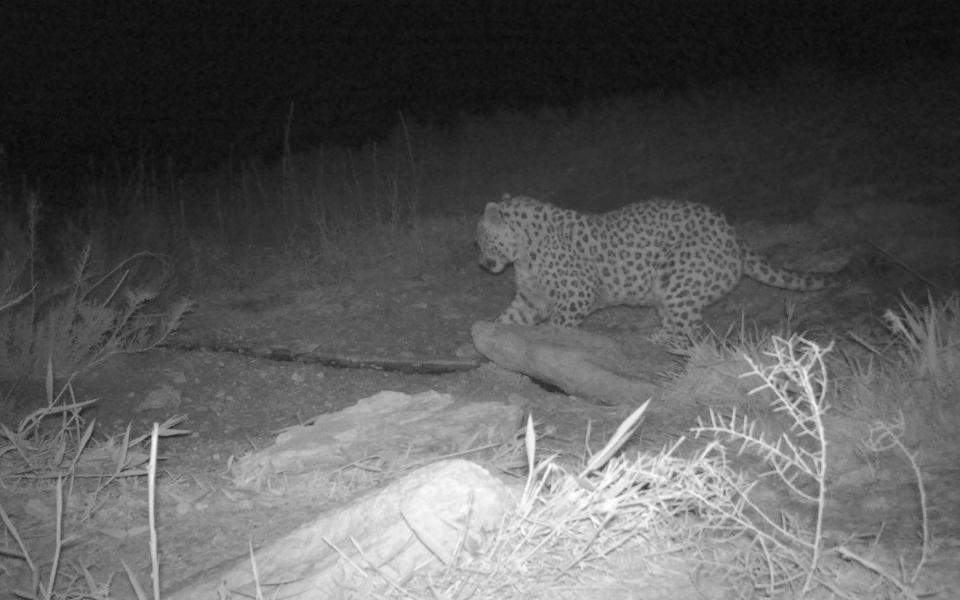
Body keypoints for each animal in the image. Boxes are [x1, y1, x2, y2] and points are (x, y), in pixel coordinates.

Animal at [478, 190, 840, 344]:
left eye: (482, 241)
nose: (482, 264)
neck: (524, 251)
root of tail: (734, 236)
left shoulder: (575, 295)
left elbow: (559, 325)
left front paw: (550, 343)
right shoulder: (531, 298)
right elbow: (510, 318)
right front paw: (489, 340)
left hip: (677, 277)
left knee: (693, 331)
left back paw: (663, 342)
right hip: (667, 288)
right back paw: (658, 335)